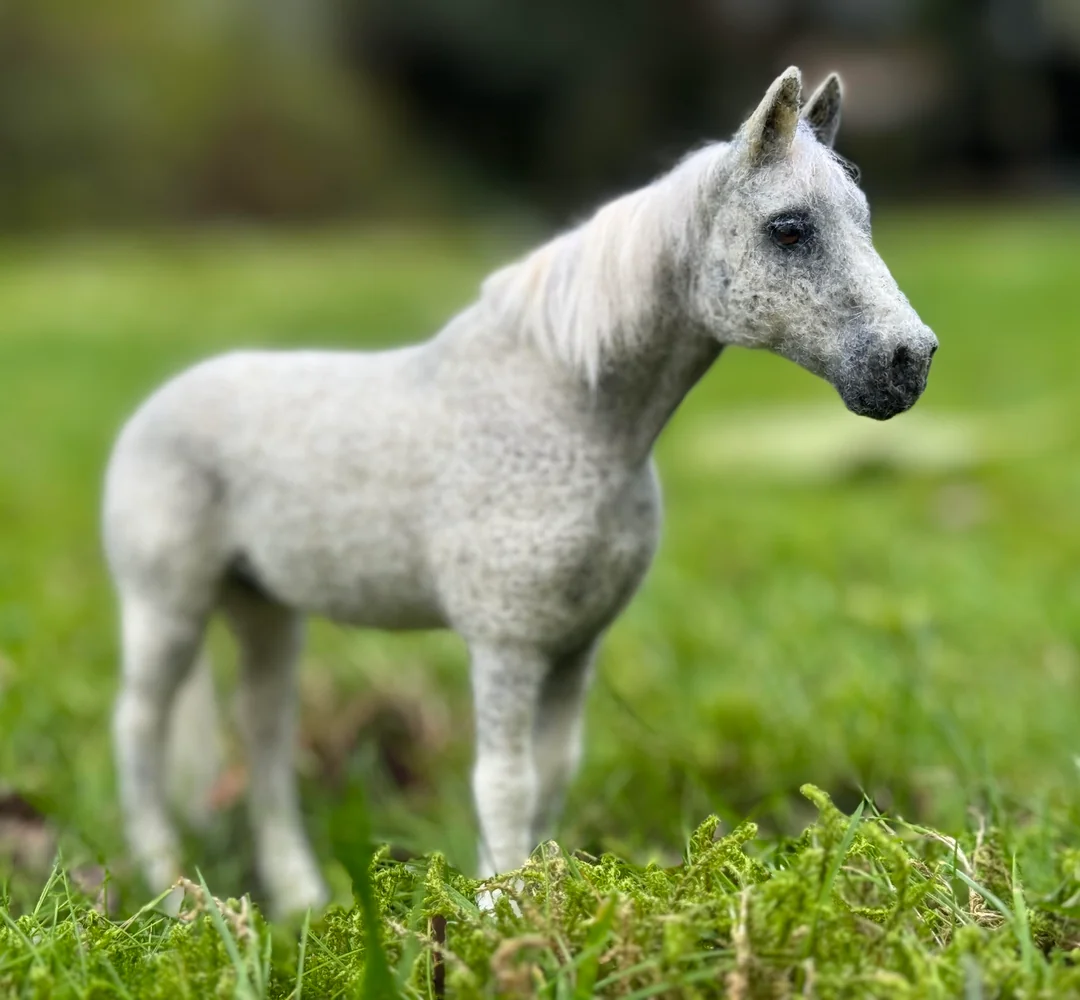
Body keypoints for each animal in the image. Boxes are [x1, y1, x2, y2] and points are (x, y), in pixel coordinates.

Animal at [103, 66, 937, 917]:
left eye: (863, 219)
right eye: (789, 229)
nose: (908, 362)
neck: (563, 407)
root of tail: (156, 407)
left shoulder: (574, 645)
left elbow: (552, 772)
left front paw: (535, 898)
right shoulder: (506, 644)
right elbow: (504, 781)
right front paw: (499, 912)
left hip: (266, 610)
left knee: (265, 739)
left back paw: (300, 898)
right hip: (168, 608)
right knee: (139, 728)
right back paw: (169, 891)